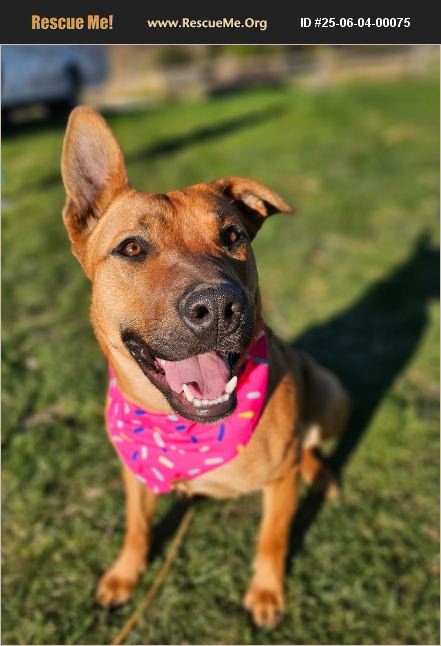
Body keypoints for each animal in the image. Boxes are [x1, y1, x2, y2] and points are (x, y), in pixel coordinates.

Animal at [61, 106, 349, 628]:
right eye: (131, 248)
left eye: (232, 236)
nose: (217, 308)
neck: (181, 432)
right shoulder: (134, 473)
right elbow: (136, 526)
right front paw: (124, 575)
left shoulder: (278, 483)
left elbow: (272, 537)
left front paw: (266, 592)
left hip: (330, 390)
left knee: (309, 443)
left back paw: (319, 474)